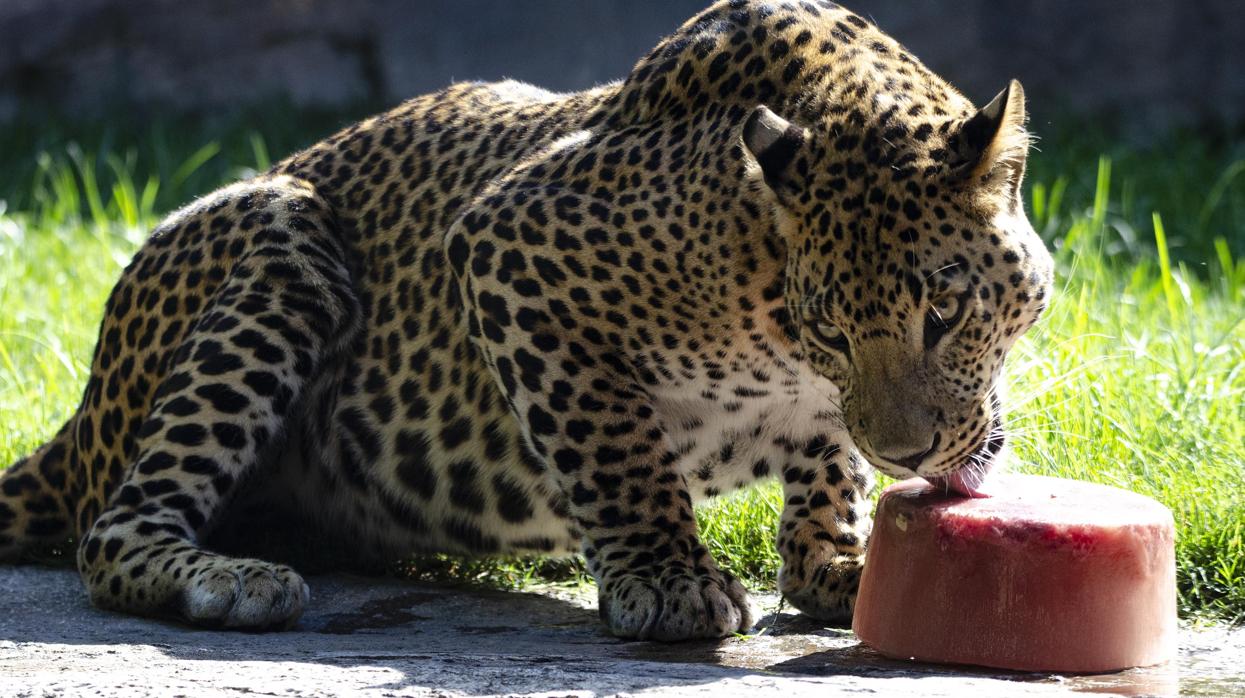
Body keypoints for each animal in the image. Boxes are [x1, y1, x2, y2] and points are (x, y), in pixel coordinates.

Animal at [0, 0, 1050, 642]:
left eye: (944, 310)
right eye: (832, 333)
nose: (908, 455)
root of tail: (79, 422)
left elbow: (827, 459)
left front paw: (834, 558)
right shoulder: (510, 244)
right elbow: (615, 448)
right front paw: (667, 580)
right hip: (280, 235)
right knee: (110, 531)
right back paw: (230, 578)